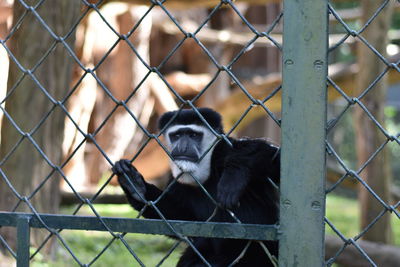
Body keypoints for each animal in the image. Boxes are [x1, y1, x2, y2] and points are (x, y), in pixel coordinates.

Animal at [112, 109, 280, 267]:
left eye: (193, 135)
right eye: (176, 136)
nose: (183, 147)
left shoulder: (225, 149)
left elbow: (275, 158)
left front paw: (235, 174)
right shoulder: (176, 180)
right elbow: (185, 220)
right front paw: (135, 185)